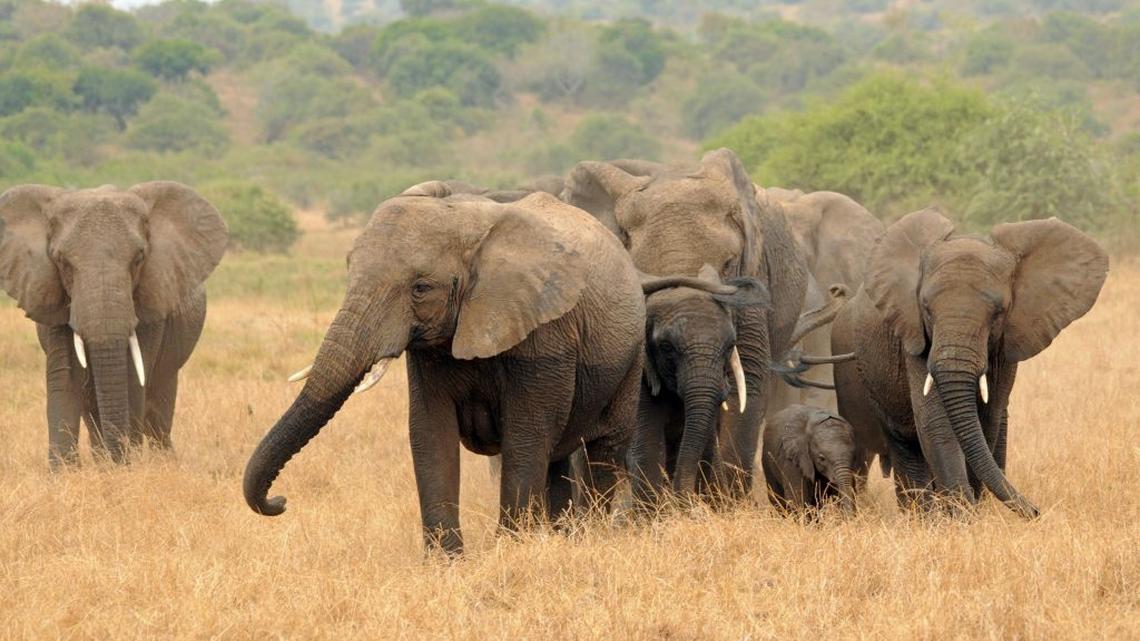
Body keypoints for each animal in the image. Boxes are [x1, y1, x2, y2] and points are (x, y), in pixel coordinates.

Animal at [0, 182, 228, 467]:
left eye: (139, 258)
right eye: (62, 261)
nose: (120, 459)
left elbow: (133, 377)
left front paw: (124, 467)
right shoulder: (51, 296)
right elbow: (65, 377)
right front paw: (65, 472)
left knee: (159, 403)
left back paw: (162, 460)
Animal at [243, 186, 744, 553]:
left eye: (421, 287)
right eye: (348, 270)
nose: (279, 501)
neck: (469, 228)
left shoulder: (545, 332)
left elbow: (526, 433)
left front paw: (512, 551)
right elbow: (430, 432)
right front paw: (447, 562)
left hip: (628, 356)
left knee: (603, 445)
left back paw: (593, 538)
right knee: (557, 457)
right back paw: (558, 537)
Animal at [561, 148, 809, 501]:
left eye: (728, 265)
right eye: (641, 272)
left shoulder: (754, 283)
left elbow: (748, 380)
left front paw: (726, 506)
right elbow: (642, 394)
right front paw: (656, 508)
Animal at [831, 209, 1108, 518]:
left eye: (998, 312)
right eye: (926, 309)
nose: (1037, 512)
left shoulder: (1003, 346)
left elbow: (986, 419)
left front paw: (970, 512)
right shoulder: (913, 336)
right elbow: (935, 421)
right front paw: (963, 517)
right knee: (903, 441)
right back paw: (921, 516)